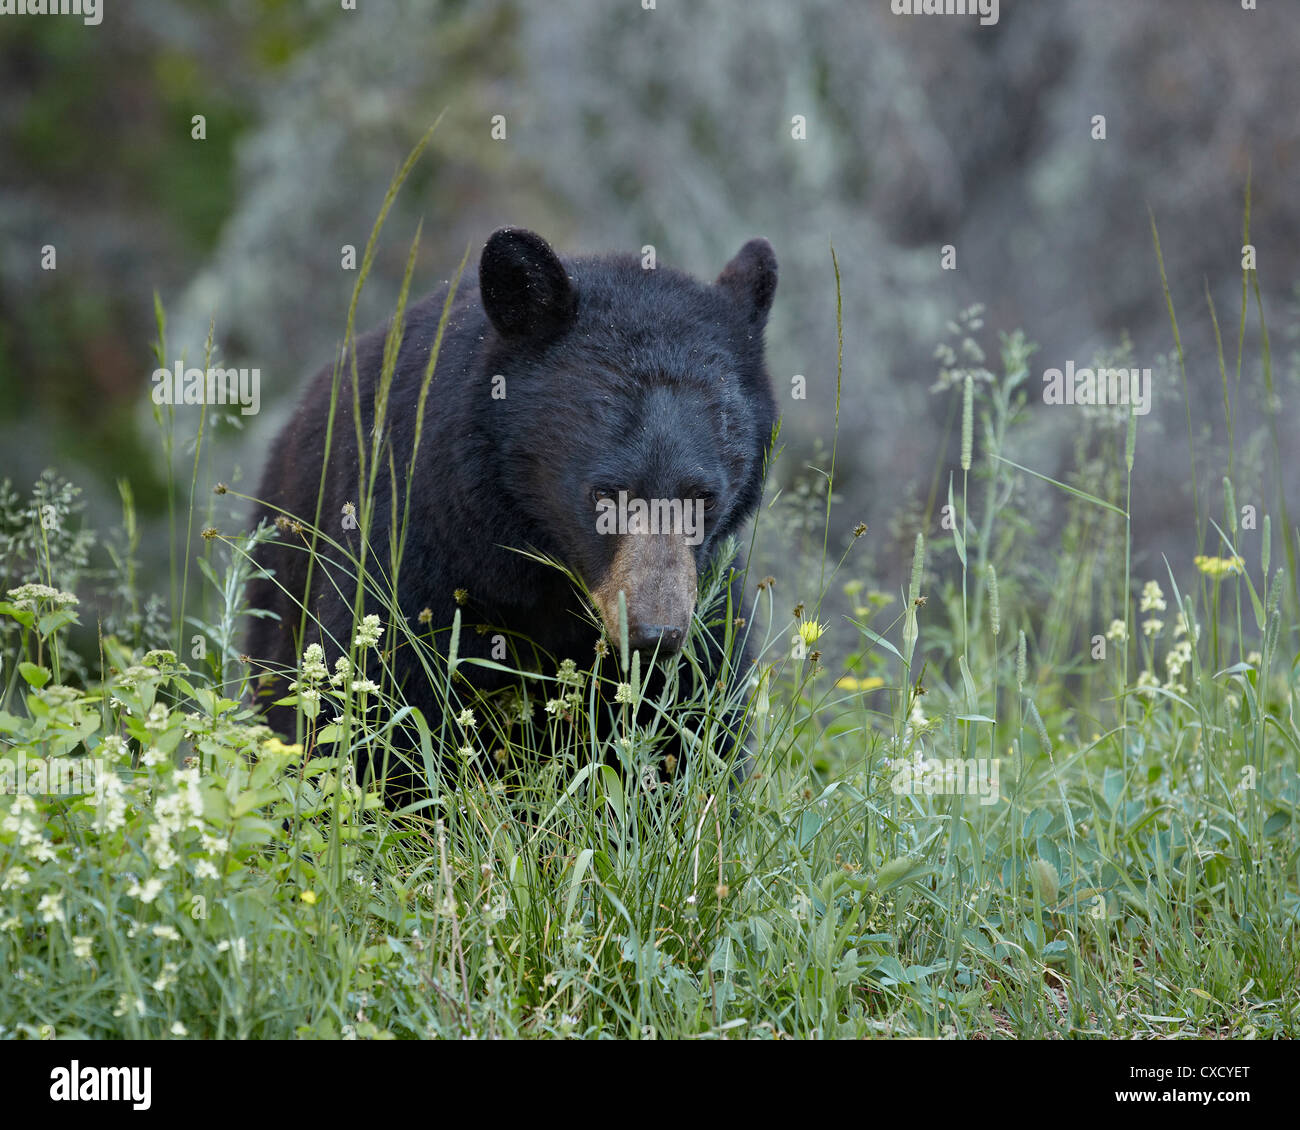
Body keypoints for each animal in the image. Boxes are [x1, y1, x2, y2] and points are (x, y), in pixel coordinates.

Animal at [246, 227, 774, 801]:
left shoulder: (710, 596)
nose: (655, 634)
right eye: (604, 494)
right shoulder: (417, 541)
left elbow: (694, 716)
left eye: (704, 497)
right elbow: (383, 694)